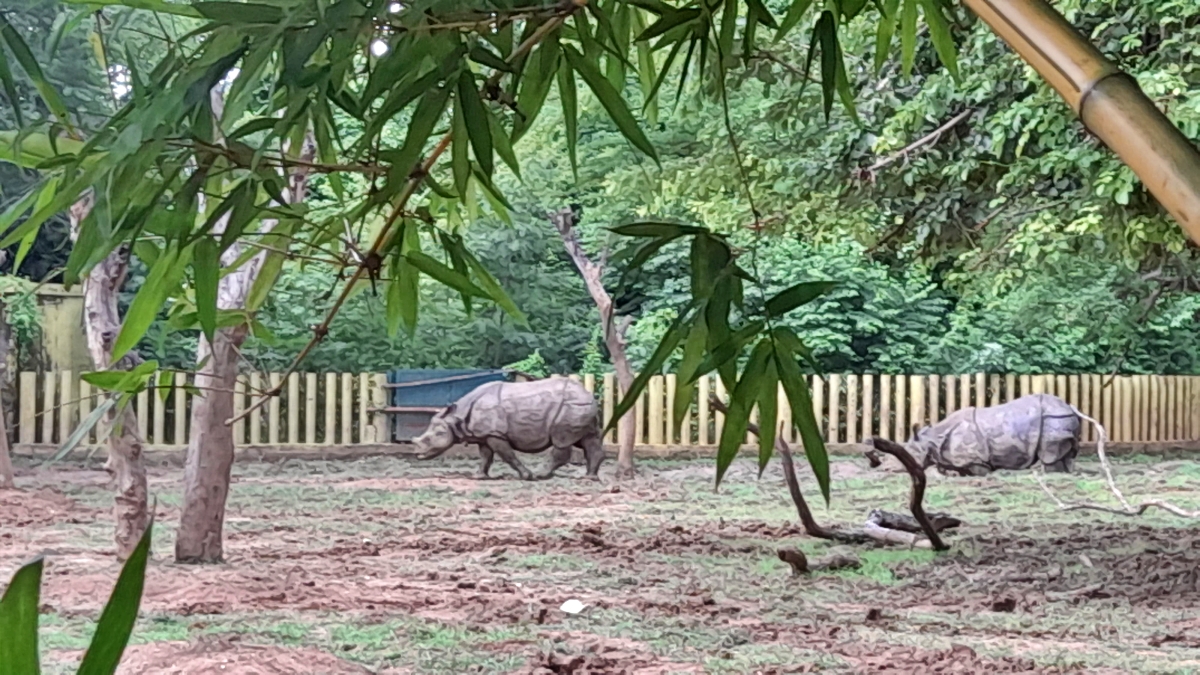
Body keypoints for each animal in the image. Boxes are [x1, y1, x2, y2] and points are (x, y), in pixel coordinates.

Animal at [412, 377, 605, 481]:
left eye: (436, 435)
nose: (417, 454)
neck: (456, 417)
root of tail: (589, 394)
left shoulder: (496, 434)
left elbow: (508, 455)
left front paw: (527, 476)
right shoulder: (485, 434)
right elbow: (486, 456)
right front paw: (479, 476)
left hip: (570, 407)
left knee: (561, 440)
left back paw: (541, 474)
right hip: (581, 407)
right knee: (589, 440)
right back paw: (590, 478)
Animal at [901, 393, 1081, 476]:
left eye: (909, 453)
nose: (901, 469)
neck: (931, 439)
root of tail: (1070, 407)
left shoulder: (977, 460)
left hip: (1054, 418)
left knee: (1049, 454)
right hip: (1060, 417)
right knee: (1067, 452)